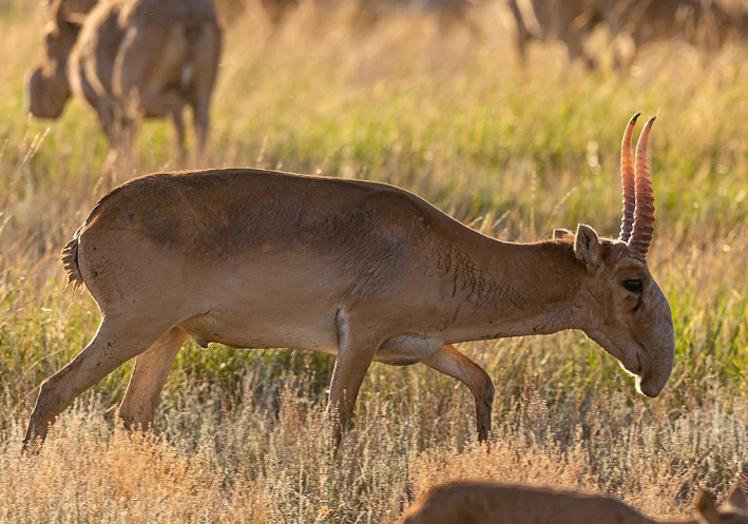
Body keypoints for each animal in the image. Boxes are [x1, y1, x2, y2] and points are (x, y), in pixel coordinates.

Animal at [26, 115, 676, 450]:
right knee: (54, 391)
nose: (655, 374)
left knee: (132, 415)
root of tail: (93, 221)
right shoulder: (359, 338)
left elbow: (483, 382)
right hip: (131, 328)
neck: (440, 244)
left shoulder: (426, 346)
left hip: (168, 337)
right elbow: (336, 425)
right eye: (633, 282)